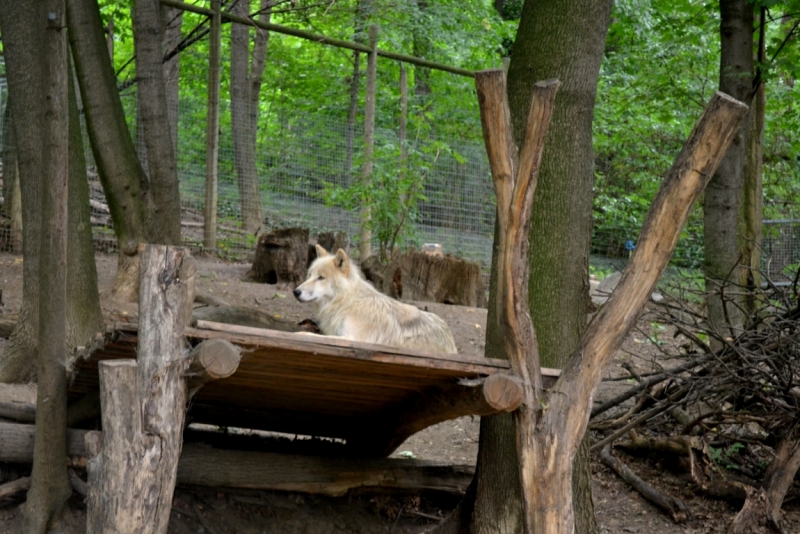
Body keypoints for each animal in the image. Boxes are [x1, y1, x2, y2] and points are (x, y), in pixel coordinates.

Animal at [292, 247, 456, 356]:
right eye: (310, 275)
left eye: (321, 278)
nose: (296, 292)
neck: (347, 302)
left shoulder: (353, 339)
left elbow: (313, 336)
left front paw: (299, 334)